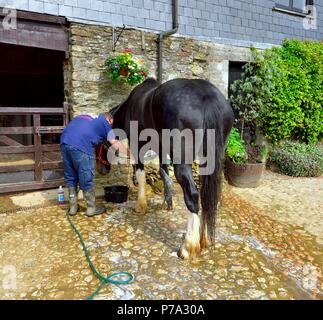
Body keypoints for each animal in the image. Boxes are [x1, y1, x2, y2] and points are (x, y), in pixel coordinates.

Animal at [110, 78, 234, 260]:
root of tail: (206, 96)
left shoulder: (138, 147)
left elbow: (142, 173)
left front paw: (141, 205)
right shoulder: (162, 149)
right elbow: (164, 173)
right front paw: (167, 203)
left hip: (182, 161)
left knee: (193, 195)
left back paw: (188, 247)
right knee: (208, 196)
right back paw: (205, 239)